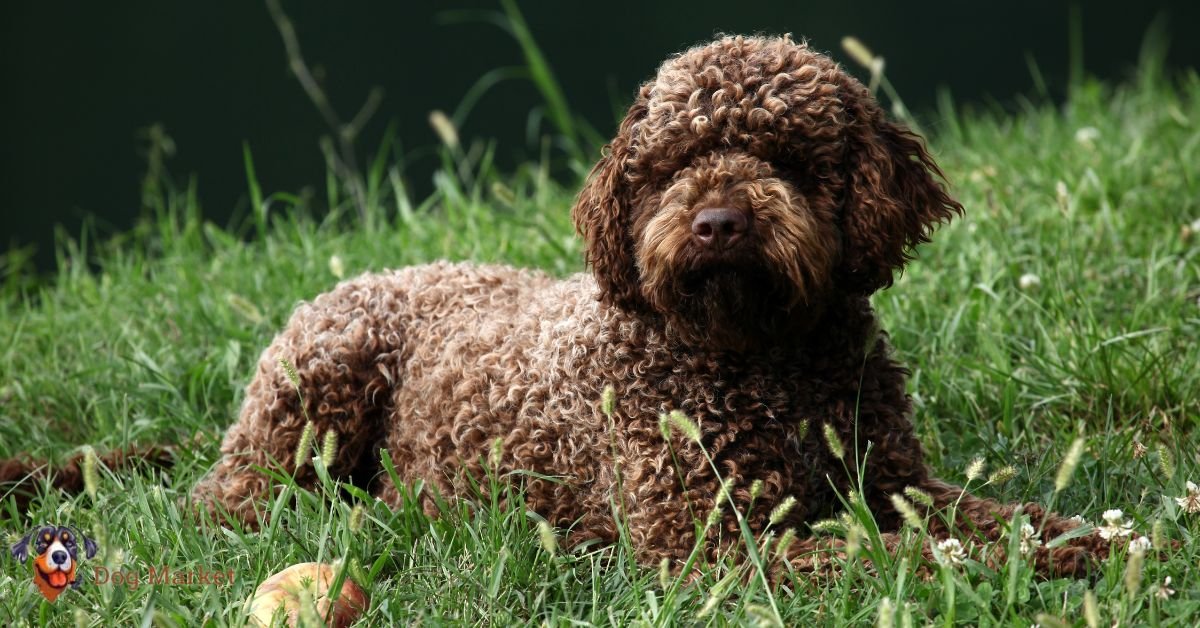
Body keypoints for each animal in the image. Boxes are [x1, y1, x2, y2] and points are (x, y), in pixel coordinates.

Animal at [194, 33, 1104, 573]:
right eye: (672, 163)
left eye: (787, 156)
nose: (718, 223)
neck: (763, 362)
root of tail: (371, 276)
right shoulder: (706, 541)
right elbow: (884, 557)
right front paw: (981, 569)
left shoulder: (893, 480)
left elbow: (1007, 516)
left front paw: (1086, 542)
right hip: (318, 391)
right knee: (229, 499)